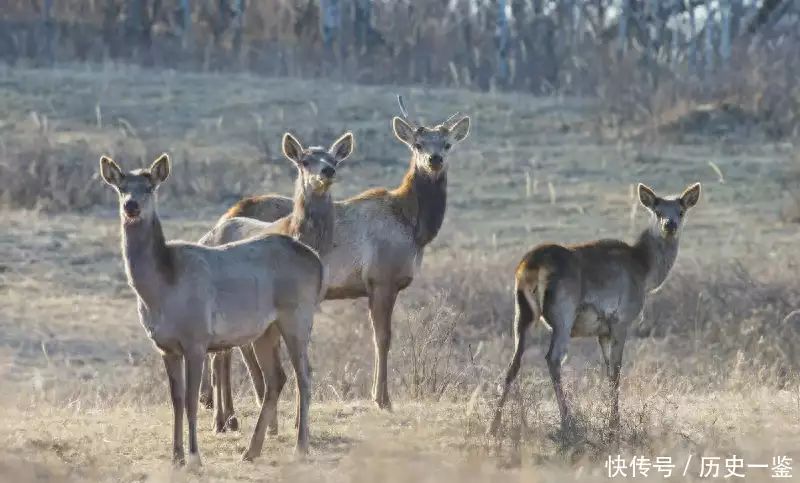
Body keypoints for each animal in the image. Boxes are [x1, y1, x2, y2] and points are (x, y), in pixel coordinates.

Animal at [98, 155, 324, 466]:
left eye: (149, 187)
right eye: (121, 187)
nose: (131, 206)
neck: (162, 290)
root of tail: (317, 263)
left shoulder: (196, 339)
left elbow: (192, 401)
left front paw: (194, 457)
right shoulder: (165, 347)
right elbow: (176, 400)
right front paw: (176, 457)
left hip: (297, 315)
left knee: (305, 375)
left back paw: (300, 447)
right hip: (265, 330)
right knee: (276, 379)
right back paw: (251, 451)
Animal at [197, 130, 354, 434]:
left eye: (334, 159)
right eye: (305, 161)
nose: (327, 171)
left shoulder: (308, 305)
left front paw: (296, 422)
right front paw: (275, 423)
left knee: (227, 351)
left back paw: (230, 418)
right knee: (221, 356)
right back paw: (221, 419)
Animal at [488, 182, 700, 434]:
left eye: (681, 211)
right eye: (658, 212)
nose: (670, 225)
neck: (645, 273)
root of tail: (531, 266)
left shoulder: (602, 331)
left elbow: (607, 371)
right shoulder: (621, 319)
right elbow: (616, 372)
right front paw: (614, 423)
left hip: (521, 312)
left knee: (514, 362)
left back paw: (494, 424)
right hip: (563, 312)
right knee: (553, 358)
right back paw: (567, 421)